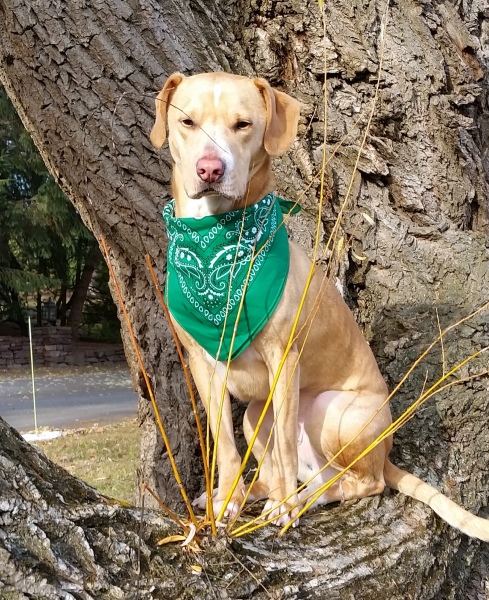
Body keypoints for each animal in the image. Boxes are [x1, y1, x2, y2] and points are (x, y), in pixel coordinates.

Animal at [149, 71, 488, 540]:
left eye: (242, 125)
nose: (210, 169)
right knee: (284, 468)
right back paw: (261, 493)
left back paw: (300, 499)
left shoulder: (283, 359)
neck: (217, 237)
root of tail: (385, 452)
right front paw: (226, 502)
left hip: (333, 411)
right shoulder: (201, 363)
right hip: (255, 415)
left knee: (356, 481)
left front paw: (283, 508)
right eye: (187, 122)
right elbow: (226, 448)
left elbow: (285, 453)